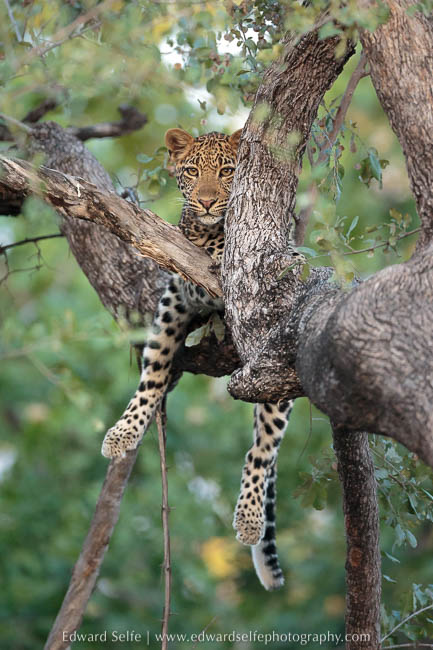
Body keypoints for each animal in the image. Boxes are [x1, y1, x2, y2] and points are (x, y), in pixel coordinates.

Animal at [101, 128, 294, 590]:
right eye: (192, 171)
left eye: (226, 172)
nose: (206, 202)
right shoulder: (173, 304)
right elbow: (151, 377)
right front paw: (123, 432)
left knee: (262, 450)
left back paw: (249, 519)